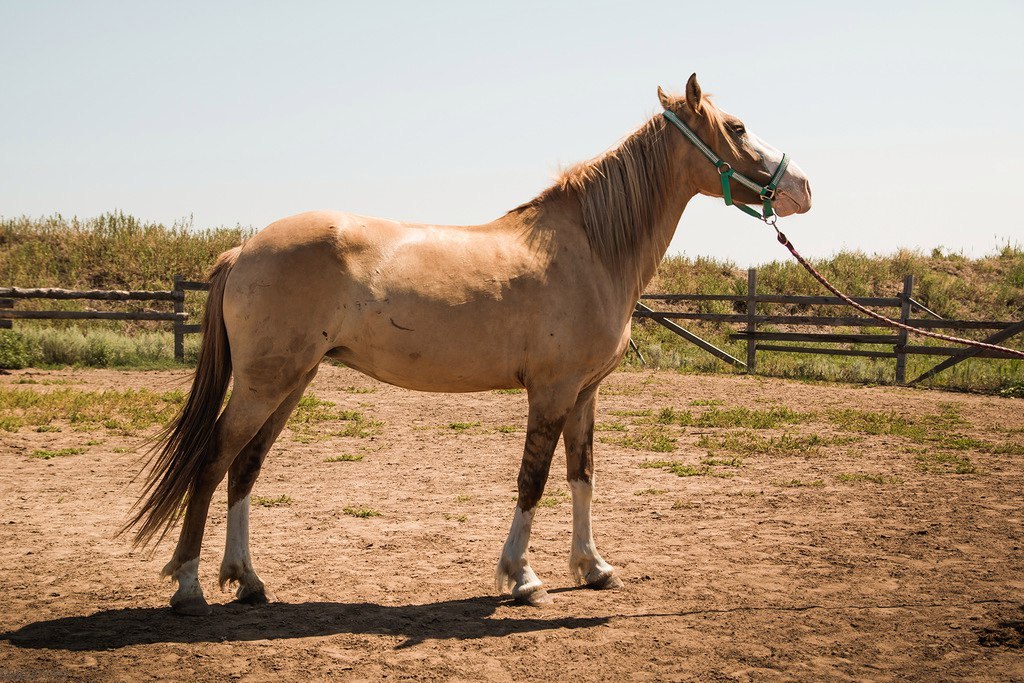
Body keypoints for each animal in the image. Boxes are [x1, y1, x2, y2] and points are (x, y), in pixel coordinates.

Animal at [125, 73, 806, 614]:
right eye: (738, 126)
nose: (801, 186)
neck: (588, 248)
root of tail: (244, 250)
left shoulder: (585, 394)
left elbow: (582, 475)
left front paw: (592, 568)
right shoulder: (551, 392)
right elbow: (533, 480)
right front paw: (523, 578)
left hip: (291, 382)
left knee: (244, 468)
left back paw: (248, 581)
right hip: (263, 385)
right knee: (211, 463)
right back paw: (189, 588)